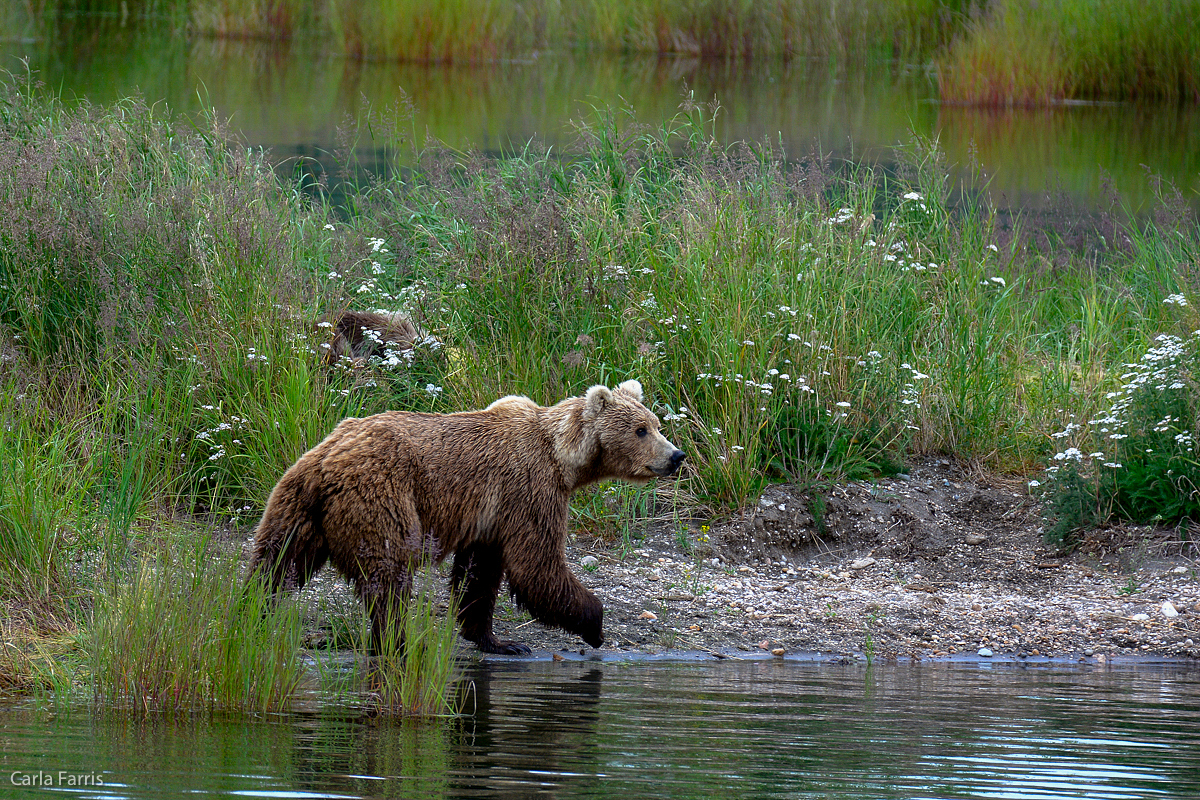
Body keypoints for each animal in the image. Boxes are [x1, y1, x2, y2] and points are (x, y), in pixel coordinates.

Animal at [246, 379, 686, 652]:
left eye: (655, 423)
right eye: (641, 430)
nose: (676, 455)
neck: (564, 458)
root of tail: (326, 459)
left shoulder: (492, 514)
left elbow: (480, 573)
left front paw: (500, 641)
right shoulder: (530, 489)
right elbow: (537, 565)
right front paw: (594, 624)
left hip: (295, 502)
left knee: (276, 561)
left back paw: (251, 609)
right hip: (380, 496)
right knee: (388, 574)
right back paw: (399, 640)